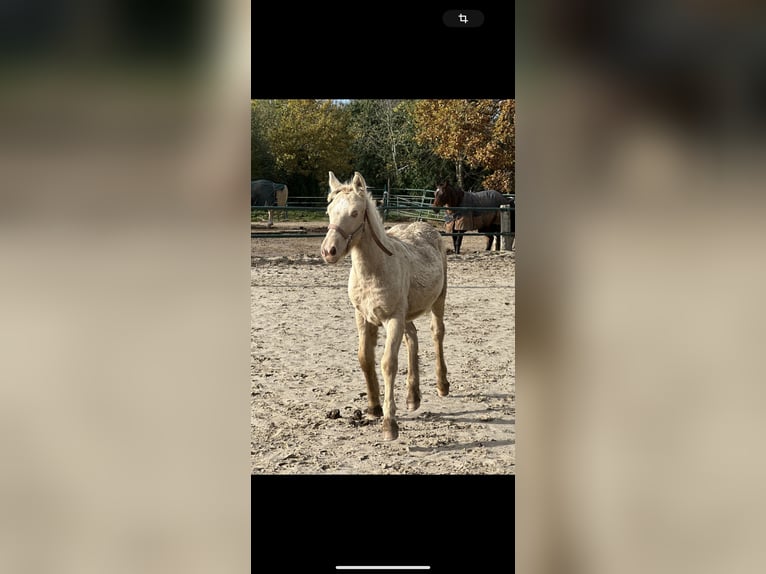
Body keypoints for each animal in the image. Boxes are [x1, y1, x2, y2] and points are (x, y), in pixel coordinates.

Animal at [321, 171, 450, 441]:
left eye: (355, 212)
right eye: (329, 211)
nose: (329, 251)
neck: (375, 270)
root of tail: (424, 225)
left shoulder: (392, 320)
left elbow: (388, 363)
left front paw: (390, 424)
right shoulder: (363, 317)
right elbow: (364, 358)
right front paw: (373, 408)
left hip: (438, 300)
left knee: (437, 334)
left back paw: (442, 385)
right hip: (407, 313)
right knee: (413, 338)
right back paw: (413, 397)